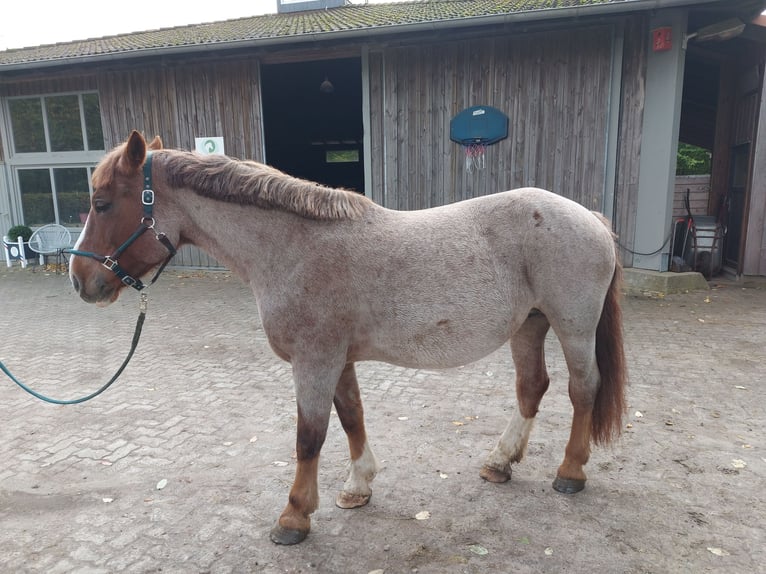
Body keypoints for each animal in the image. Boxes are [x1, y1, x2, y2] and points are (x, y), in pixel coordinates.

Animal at [69, 130, 627, 545]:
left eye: (101, 203)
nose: (80, 280)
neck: (293, 246)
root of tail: (591, 218)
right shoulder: (339, 360)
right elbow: (351, 416)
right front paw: (358, 487)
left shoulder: (314, 361)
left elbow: (309, 436)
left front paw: (294, 516)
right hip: (529, 325)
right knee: (532, 387)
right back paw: (500, 462)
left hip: (573, 327)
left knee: (583, 389)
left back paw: (570, 473)